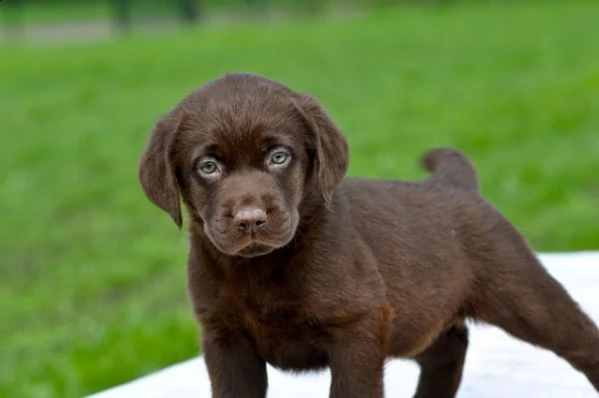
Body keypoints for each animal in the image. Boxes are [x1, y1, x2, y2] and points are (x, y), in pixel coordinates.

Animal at [139, 73, 599, 396]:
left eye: (279, 157)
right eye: (208, 166)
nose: (250, 219)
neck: (261, 268)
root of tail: (454, 182)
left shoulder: (357, 326)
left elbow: (353, 390)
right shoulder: (224, 337)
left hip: (522, 294)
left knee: (581, 341)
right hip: (414, 315)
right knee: (449, 348)